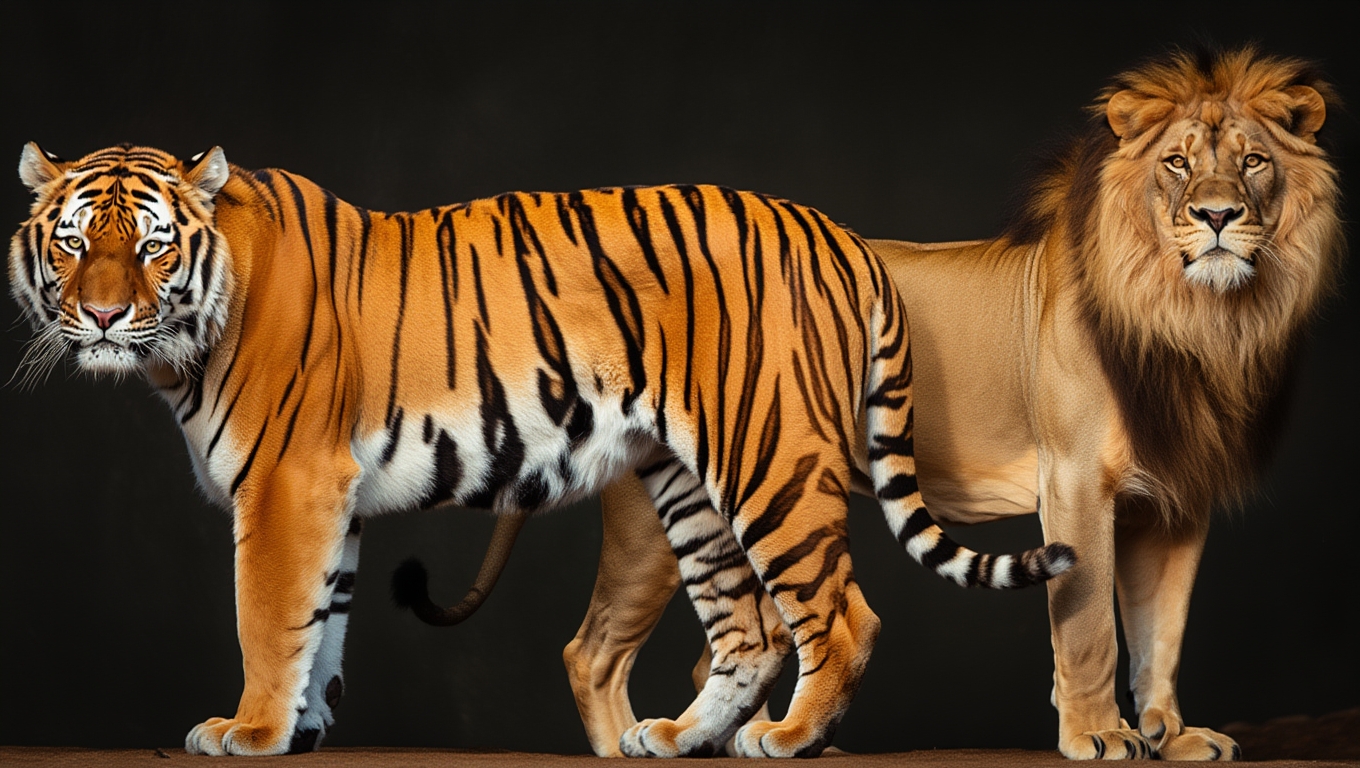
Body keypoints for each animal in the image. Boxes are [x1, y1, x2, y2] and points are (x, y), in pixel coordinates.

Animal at [9, 145, 1076, 757]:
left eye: (151, 247)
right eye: (72, 243)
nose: (102, 315)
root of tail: (838, 233)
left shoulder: (284, 487)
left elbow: (270, 621)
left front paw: (251, 730)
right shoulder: (328, 497)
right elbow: (326, 621)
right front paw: (304, 728)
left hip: (768, 458)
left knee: (840, 618)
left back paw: (789, 737)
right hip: (686, 484)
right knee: (749, 629)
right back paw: (676, 736)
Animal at [417, 48, 1343, 759]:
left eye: (1253, 161)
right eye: (1177, 163)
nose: (1217, 215)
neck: (1202, 315)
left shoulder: (1175, 504)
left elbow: (1162, 634)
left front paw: (1169, 736)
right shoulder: (1078, 482)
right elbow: (1090, 628)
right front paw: (1101, 736)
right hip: (657, 524)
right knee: (596, 651)